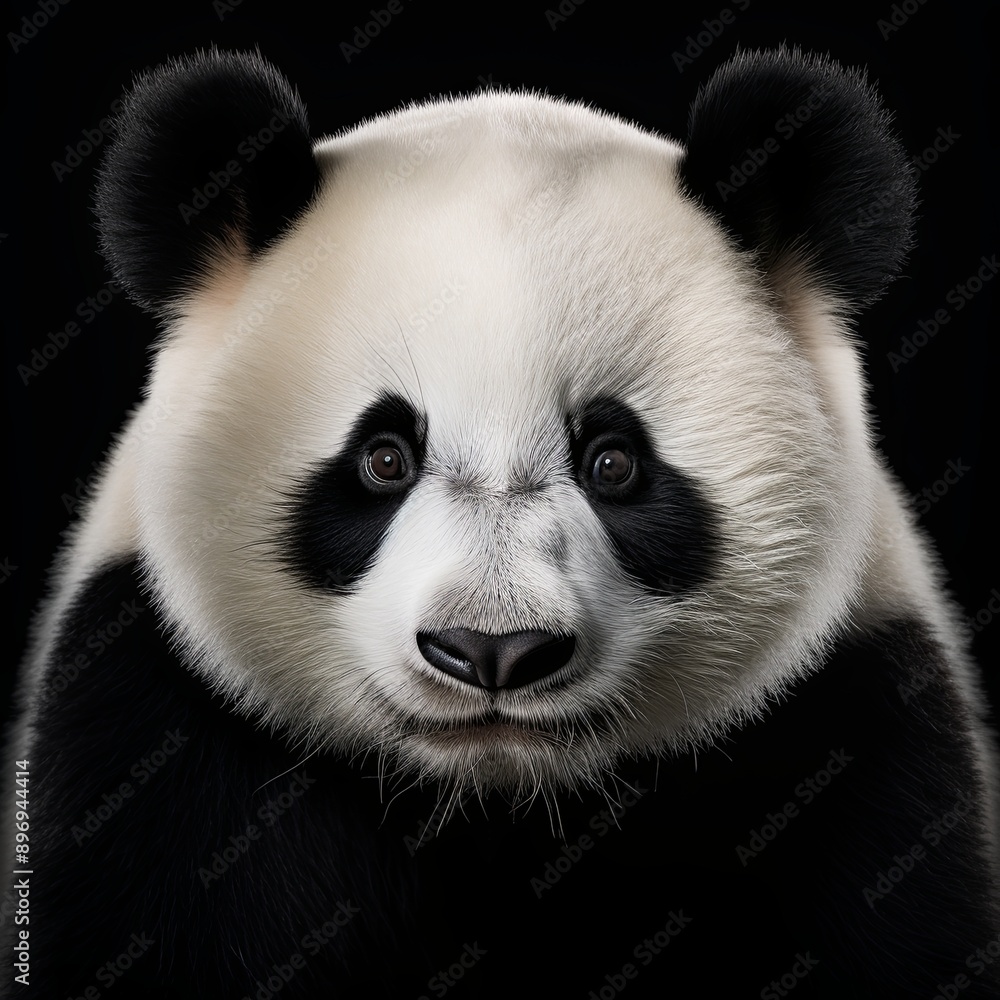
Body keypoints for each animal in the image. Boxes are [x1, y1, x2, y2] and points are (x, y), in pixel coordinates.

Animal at [3, 45, 997, 999]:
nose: (494, 651)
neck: (496, 803)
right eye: (384, 459)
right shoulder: (153, 735)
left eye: (613, 462)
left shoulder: (857, 730)